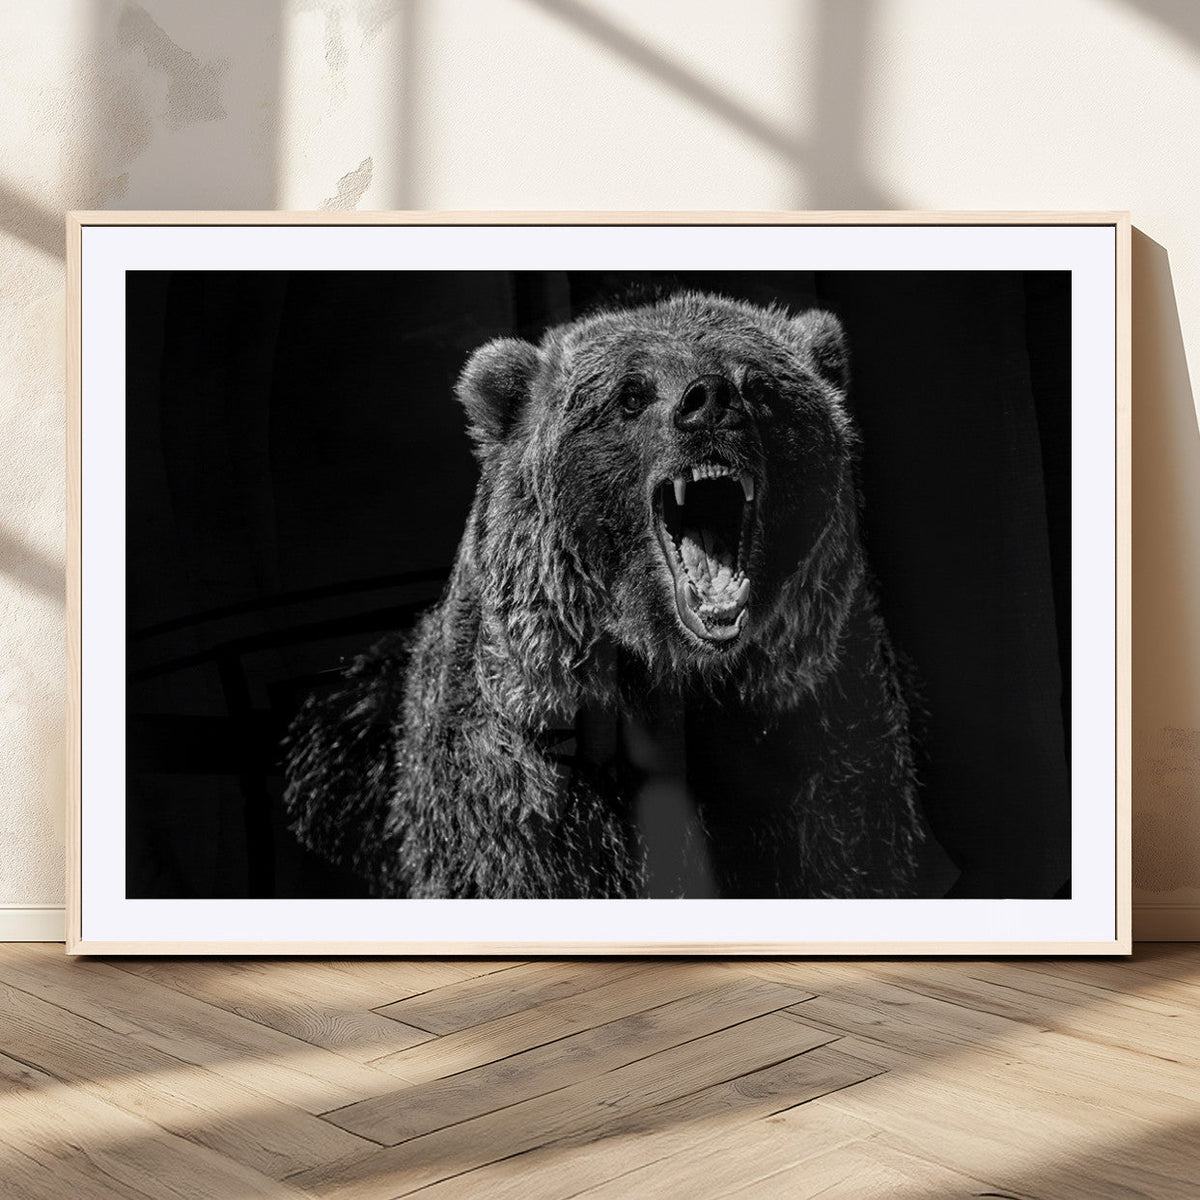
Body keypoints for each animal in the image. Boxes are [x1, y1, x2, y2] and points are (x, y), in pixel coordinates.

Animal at [283, 291, 922, 899]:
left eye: (758, 385)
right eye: (631, 394)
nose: (710, 401)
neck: (675, 675)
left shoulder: (820, 735)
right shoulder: (529, 779)